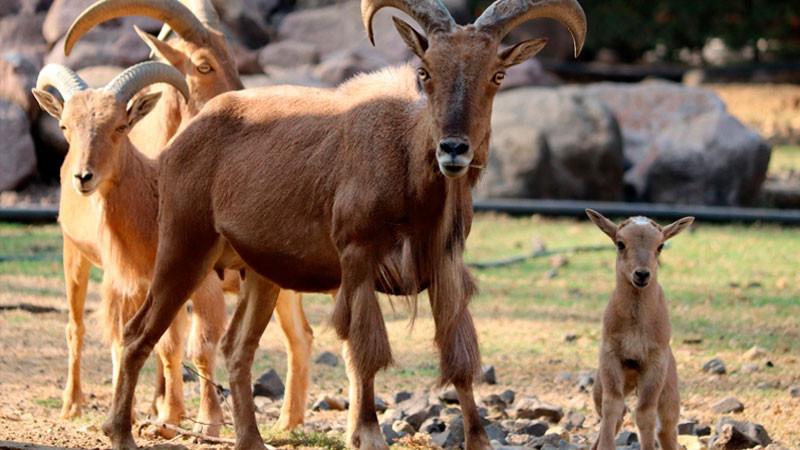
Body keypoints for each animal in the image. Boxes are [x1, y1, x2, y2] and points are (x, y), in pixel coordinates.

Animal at [101, 0, 588, 446]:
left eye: (497, 75)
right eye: (426, 71)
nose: (453, 149)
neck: (407, 166)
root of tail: (180, 141)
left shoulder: (444, 267)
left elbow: (459, 355)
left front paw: (478, 437)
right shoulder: (357, 258)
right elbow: (366, 349)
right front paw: (368, 434)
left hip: (260, 274)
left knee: (237, 348)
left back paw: (251, 439)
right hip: (184, 248)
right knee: (138, 333)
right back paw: (121, 432)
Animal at [588, 209, 692, 450]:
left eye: (660, 245)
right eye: (620, 243)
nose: (642, 275)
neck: (636, 325)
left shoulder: (655, 363)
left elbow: (645, 413)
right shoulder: (610, 356)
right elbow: (611, 407)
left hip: (669, 391)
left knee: (667, 429)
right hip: (601, 385)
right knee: (618, 413)